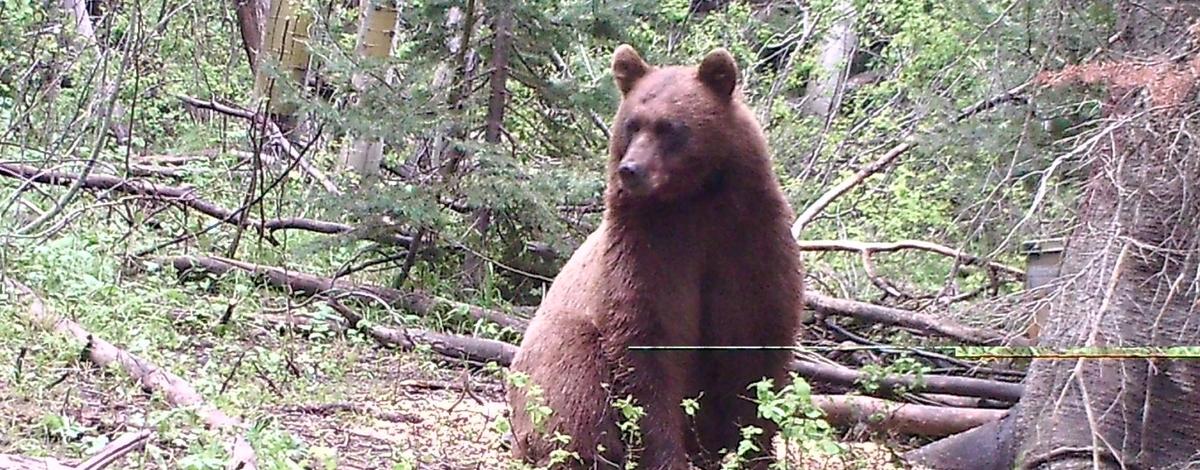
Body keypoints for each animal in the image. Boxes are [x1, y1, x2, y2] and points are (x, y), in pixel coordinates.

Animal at [506, 44, 806, 470]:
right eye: (632, 124)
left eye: (670, 127)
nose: (631, 169)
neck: (695, 201)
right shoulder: (649, 246)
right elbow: (647, 342)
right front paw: (666, 454)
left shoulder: (748, 240)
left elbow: (755, 342)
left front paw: (751, 450)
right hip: (550, 352)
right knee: (572, 388)